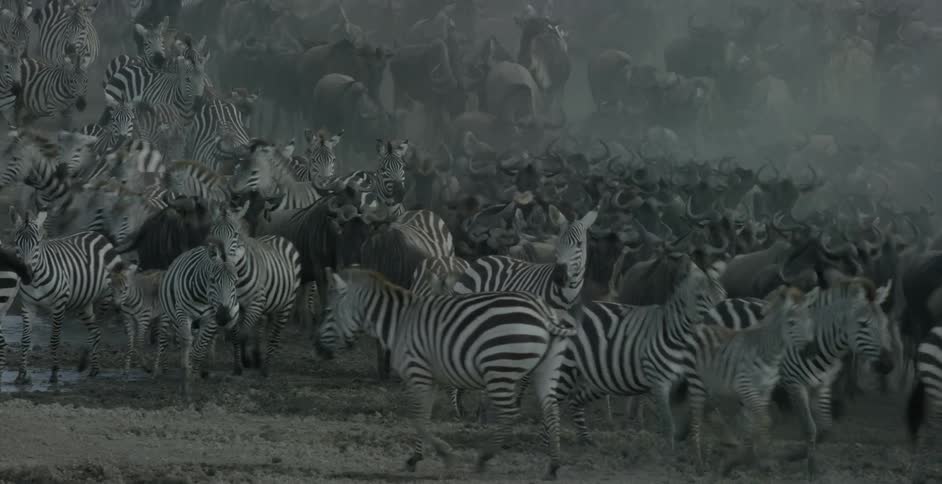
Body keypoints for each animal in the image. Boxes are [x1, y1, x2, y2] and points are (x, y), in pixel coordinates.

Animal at [10, 208, 123, 384]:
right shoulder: (28, 305)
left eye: (37, 244)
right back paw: (94, 369)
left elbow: (55, 339)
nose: (26, 275)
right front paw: (21, 374)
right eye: (17, 243)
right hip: (83, 302)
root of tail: (98, 235)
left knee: (99, 328)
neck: (35, 281)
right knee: (95, 331)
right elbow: (25, 339)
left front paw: (54, 373)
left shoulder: (58, 304)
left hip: (107, 295)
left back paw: (90, 366)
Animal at [155, 237, 240, 396]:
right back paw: (158, 370)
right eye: (212, 280)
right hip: (168, 315)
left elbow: (199, 349)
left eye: (235, 282)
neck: (202, 297)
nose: (224, 317)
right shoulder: (183, 314)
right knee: (164, 338)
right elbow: (186, 343)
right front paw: (185, 379)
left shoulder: (210, 319)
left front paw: (192, 377)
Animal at [207, 202, 301, 376]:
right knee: (260, 328)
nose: (222, 260)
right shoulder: (233, 307)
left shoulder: (255, 303)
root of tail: (276, 236)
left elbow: (243, 334)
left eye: (235, 235)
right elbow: (237, 335)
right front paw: (239, 365)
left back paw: (265, 368)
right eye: (212, 233)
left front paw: (246, 361)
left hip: (286, 303)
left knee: (274, 335)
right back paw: (257, 357)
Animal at [316, 267, 573, 480]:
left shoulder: (417, 373)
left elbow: (417, 419)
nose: (317, 349)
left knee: (509, 414)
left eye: (328, 311)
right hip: (545, 369)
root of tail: (544, 313)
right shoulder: (430, 379)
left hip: (500, 369)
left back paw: (484, 459)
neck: (399, 323)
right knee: (551, 409)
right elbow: (424, 417)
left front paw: (440, 455)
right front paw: (417, 457)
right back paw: (553, 466)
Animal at [684, 285, 816, 474]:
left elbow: (760, 421)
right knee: (703, 411)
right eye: (791, 323)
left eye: (810, 320)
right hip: (705, 379)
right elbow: (769, 420)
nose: (811, 351)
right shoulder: (781, 382)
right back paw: (705, 458)